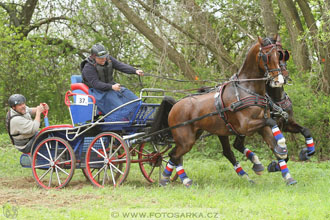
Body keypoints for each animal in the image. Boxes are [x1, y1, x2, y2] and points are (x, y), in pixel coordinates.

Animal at [160, 35, 296, 186]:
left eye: (280, 54)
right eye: (266, 56)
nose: (279, 80)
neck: (247, 89)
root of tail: (175, 105)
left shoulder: (261, 125)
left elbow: (274, 141)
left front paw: (287, 174)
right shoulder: (245, 126)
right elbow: (272, 122)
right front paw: (280, 150)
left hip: (194, 135)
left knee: (174, 155)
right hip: (186, 140)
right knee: (175, 155)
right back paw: (176, 179)